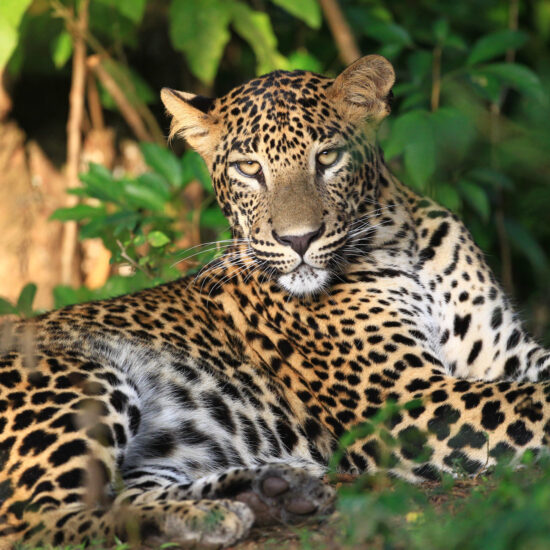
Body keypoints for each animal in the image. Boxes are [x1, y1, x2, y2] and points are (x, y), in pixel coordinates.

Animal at [1, 56, 550, 550]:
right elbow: (533, 403)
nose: (299, 239)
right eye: (249, 169)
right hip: (79, 378)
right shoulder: (403, 400)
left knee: (120, 495)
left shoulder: (506, 352)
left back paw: (266, 493)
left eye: (327, 158)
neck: (400, 243)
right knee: (38, 522)